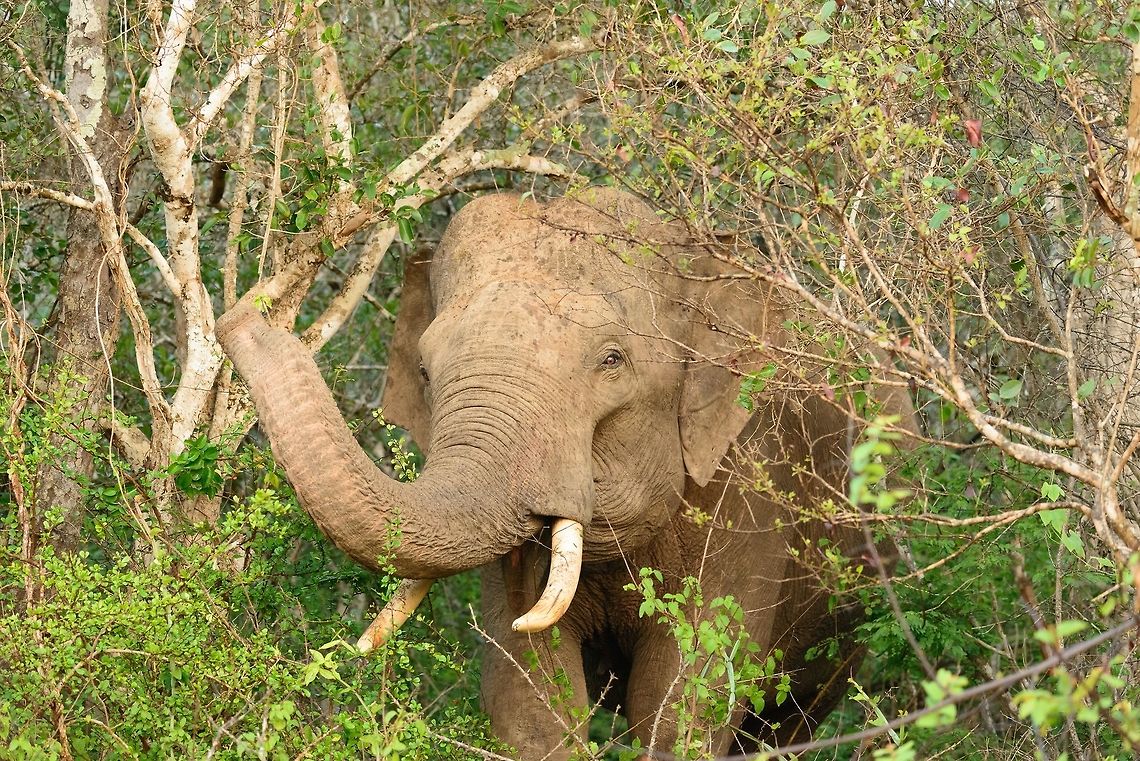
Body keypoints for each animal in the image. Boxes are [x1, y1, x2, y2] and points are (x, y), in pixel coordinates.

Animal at [216, 188, 916, 758]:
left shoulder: (750, 486)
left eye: (612, 360)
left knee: (786, 721)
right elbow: (531, 702)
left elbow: (683, 698)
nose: (241, 312)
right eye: (422, 369)